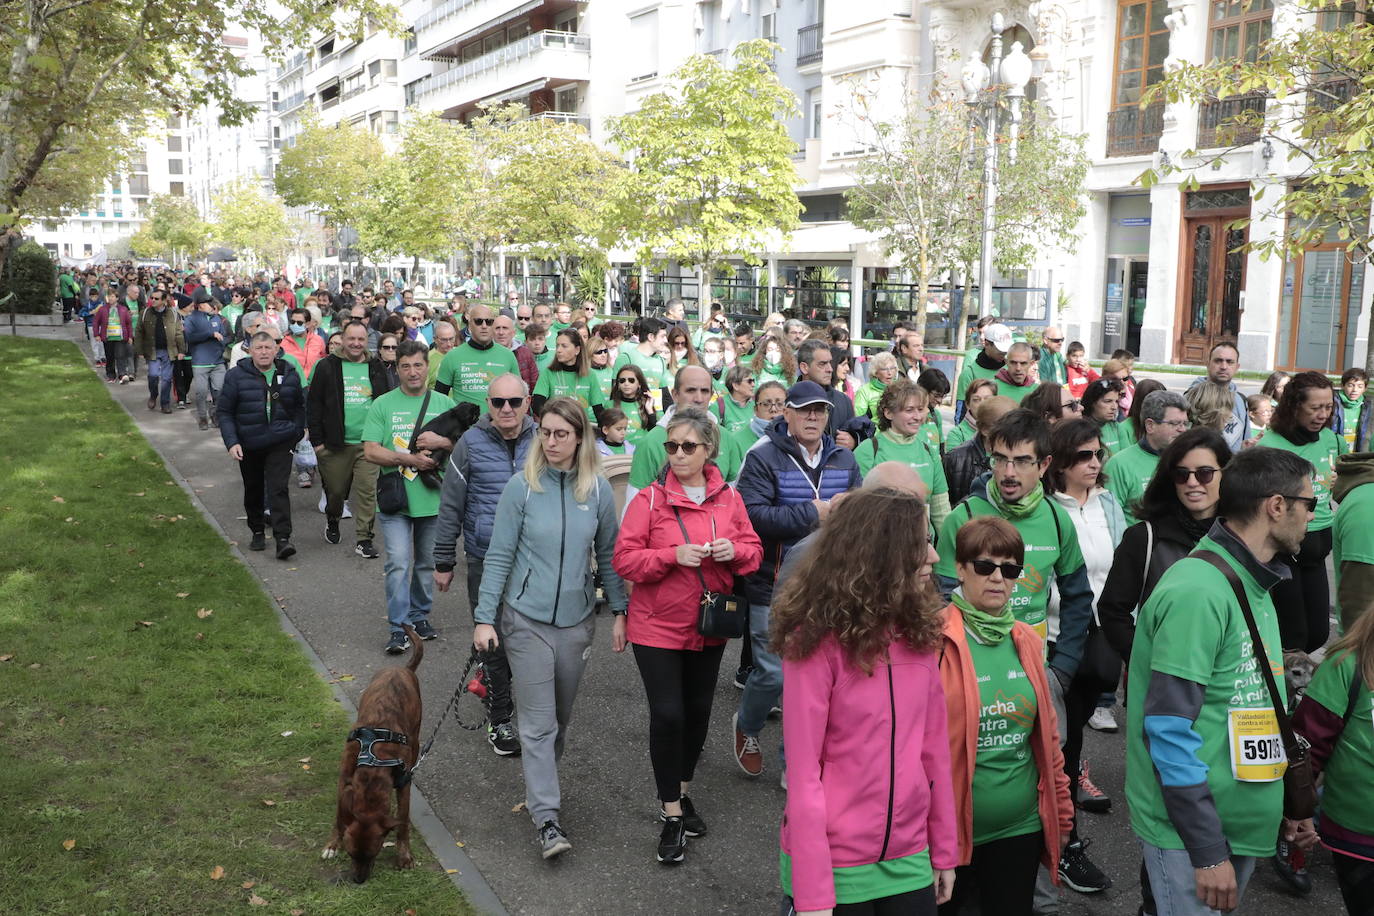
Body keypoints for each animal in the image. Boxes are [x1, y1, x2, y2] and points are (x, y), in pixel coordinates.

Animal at [322, 623, 423, 878]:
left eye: (373, 854)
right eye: (350, 854)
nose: (358, 881)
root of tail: (402, 668)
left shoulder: (403, 785)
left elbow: (403, 821)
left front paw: (404, 855)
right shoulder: (343, 780)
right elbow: (339, 817)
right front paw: (332, 844)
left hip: (416, 737)